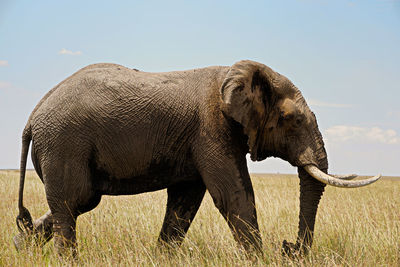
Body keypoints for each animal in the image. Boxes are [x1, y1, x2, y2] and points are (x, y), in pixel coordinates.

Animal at [13, 59, 382, 256]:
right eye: (291, 119)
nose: (288, 247)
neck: (235, 74)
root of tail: (32, 117)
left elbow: (185, 201)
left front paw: (161, 258)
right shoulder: (211, 129)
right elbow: (234, 196)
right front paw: (259, 259)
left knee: (78, 202)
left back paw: (21, 245)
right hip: (64, 144)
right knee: (73, 203)